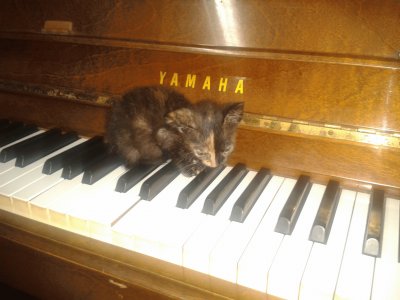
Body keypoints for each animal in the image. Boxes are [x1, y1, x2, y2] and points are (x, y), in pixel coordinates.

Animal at [105, 86, 244, 176]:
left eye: (226, 149)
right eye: (201, 153)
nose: (216, 165)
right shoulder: (164, 134)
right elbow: (175, 151)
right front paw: (191, 168)